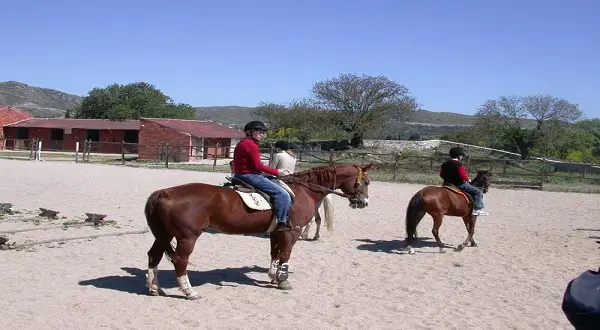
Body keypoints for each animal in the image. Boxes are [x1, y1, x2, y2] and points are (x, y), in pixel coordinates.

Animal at [145, 162, 370, 300]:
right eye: (366, 182)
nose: (364, 203)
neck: (303, 191)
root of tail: (163, 193)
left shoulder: (277, 232)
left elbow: (274, 254)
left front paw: (273, 275)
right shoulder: (292, 232)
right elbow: (285, 255)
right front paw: (283, 281)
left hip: (164, 235)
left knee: (154, 256)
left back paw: (154, 288)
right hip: (187, 237)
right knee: (180, 261)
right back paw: (189, 291)